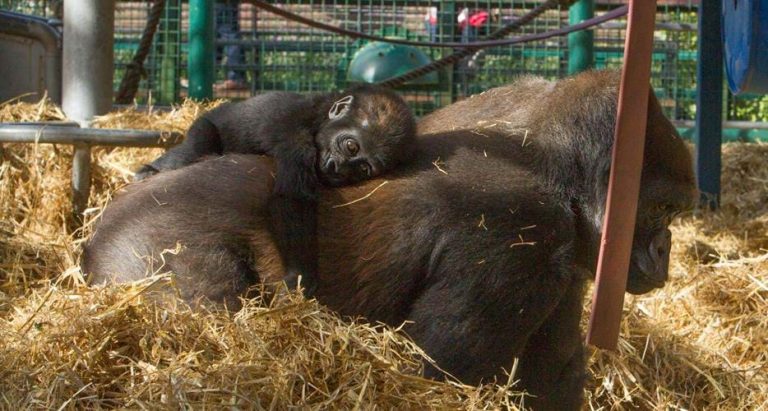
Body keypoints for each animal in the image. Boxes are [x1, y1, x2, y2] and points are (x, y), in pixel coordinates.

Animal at [134, 85, 416, 297]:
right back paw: (151, 170)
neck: (319, 116)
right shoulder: (295, 135)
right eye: (351, 147)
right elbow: (292, 197)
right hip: (204, 124)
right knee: (195, 147)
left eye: (363, 169)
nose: (336, 168)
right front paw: (300, 276)